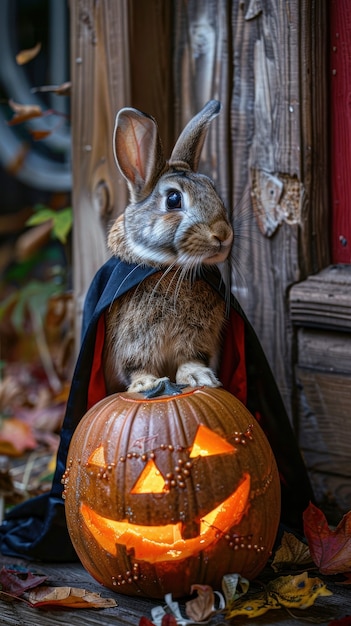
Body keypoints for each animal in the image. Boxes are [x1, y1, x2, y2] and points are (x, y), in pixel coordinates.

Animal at [102, 100, 234, 392]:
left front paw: (200, 377)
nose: (222, 234)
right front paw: (146, 384)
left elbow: (191, 358)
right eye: (173, 199)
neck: (170, 268)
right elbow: (136, 366)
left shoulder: (197, 337)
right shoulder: (133, 340)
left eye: (212, 188)